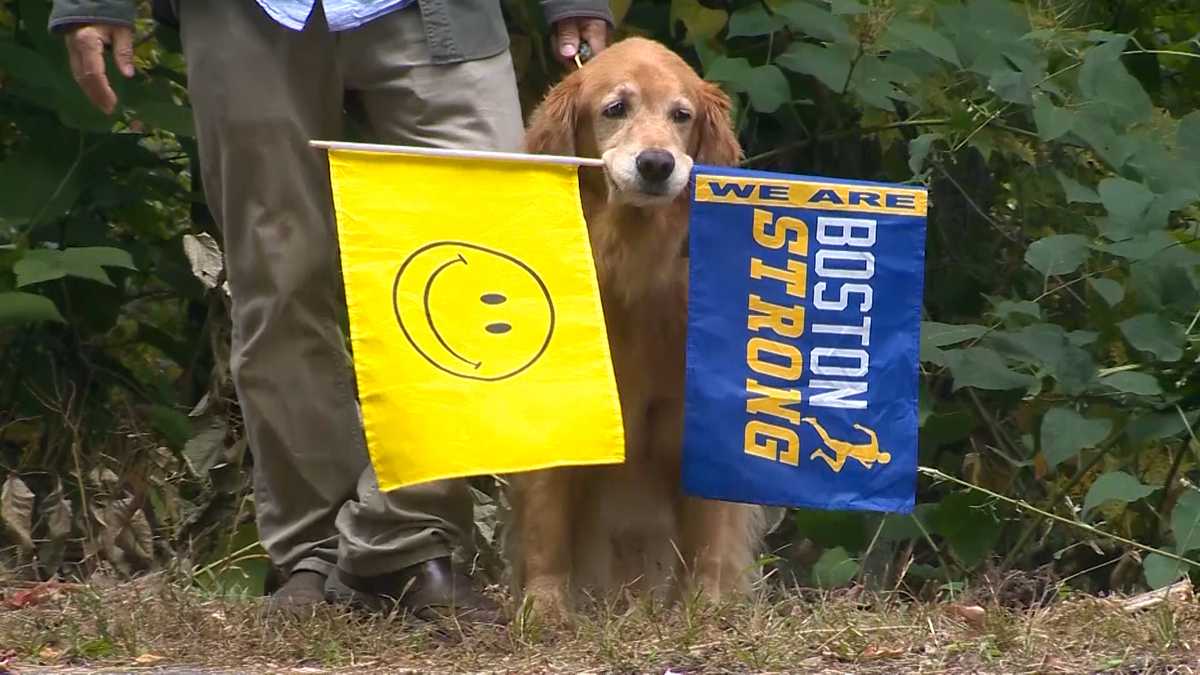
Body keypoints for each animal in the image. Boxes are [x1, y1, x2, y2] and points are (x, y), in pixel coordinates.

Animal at [504, 34, 768, 619]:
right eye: (615, 109)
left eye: (681, 115)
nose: (655, 163)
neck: (635, 269)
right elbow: (545, 525)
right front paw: (545, 607)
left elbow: (707, 536)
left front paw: (705, 608)